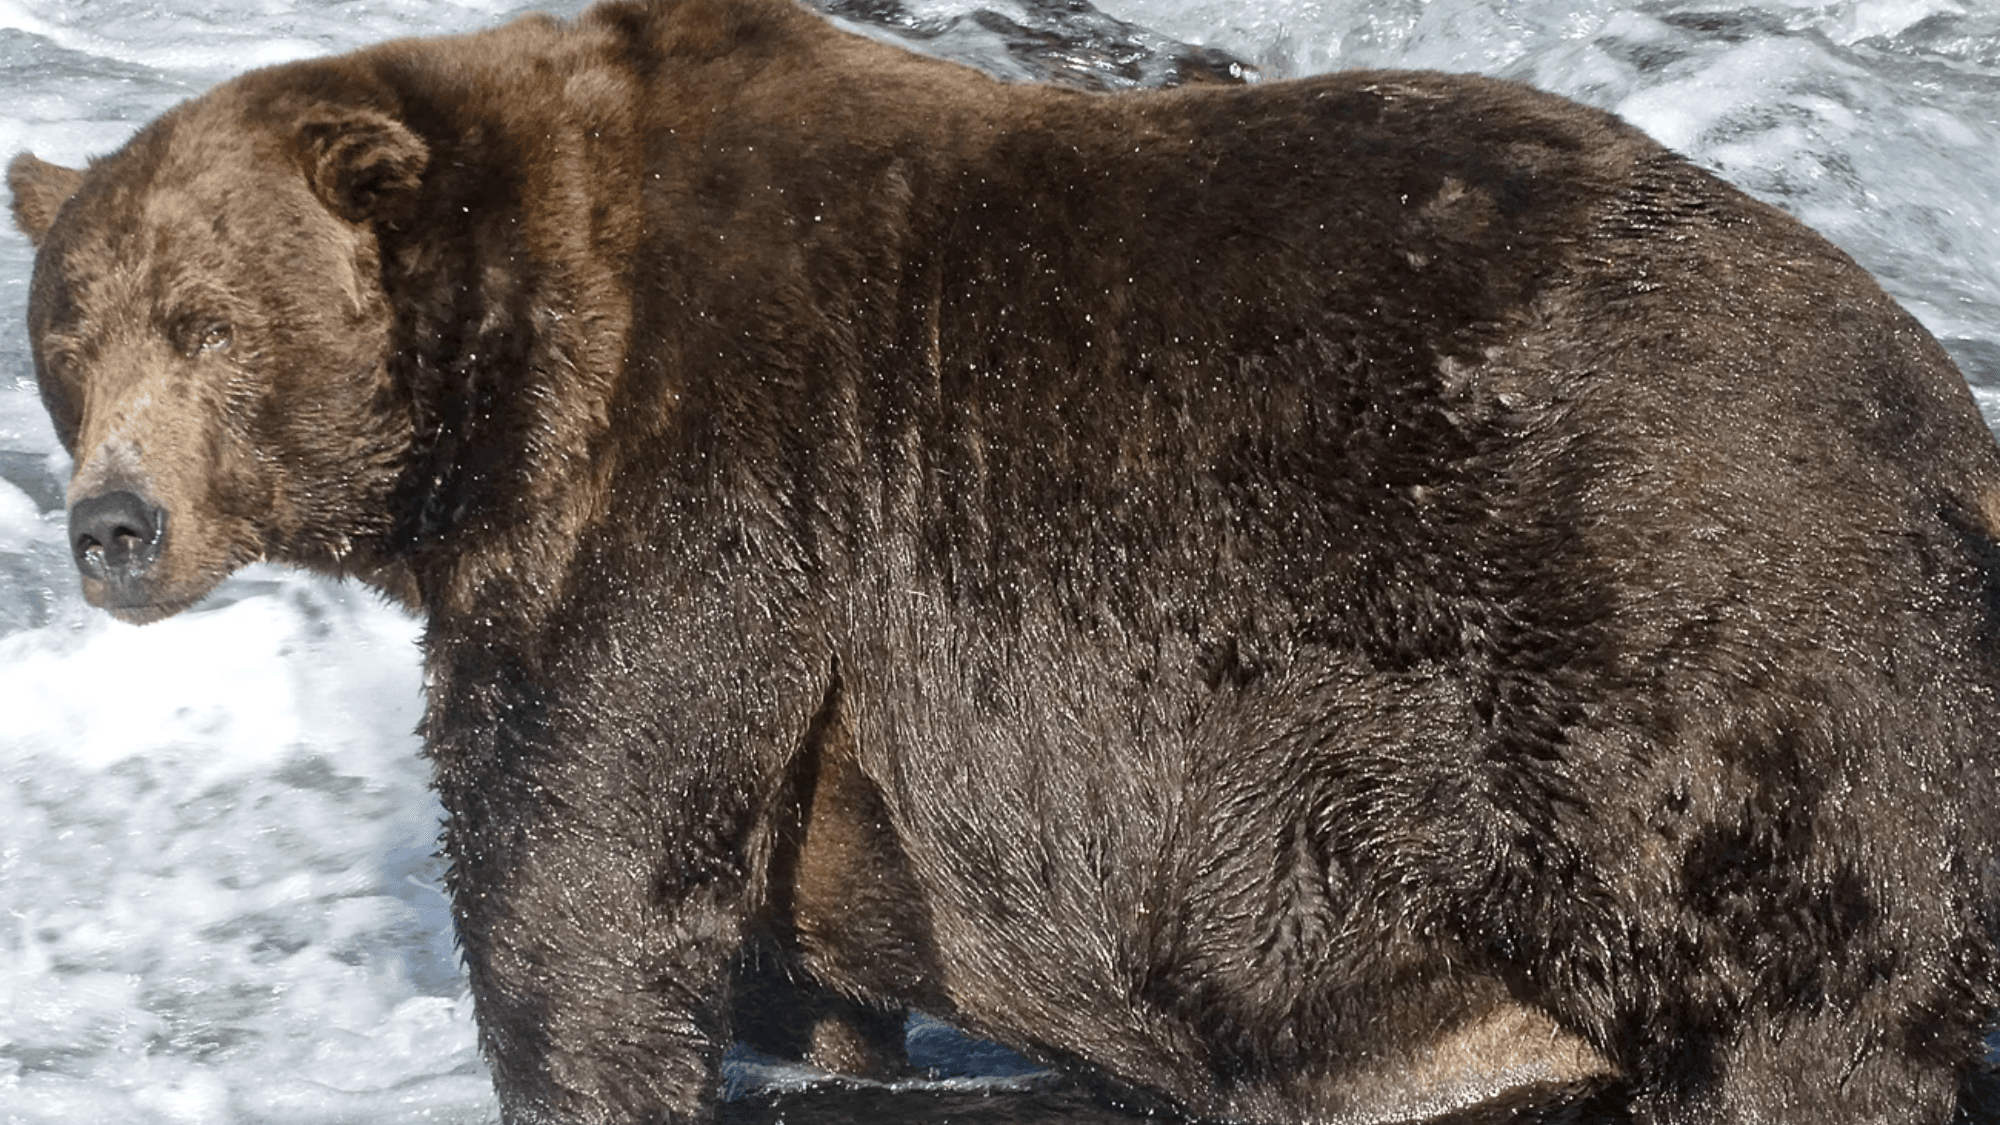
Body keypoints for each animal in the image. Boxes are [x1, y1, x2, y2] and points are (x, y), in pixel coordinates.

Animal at [9, 0, 2000, 1121]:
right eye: (66, 334)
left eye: (205, 319)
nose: (111, 527)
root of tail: (1949, 420)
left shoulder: (715, 471)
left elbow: (584, 850)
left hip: (1665, 659)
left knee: (1782, 1002)